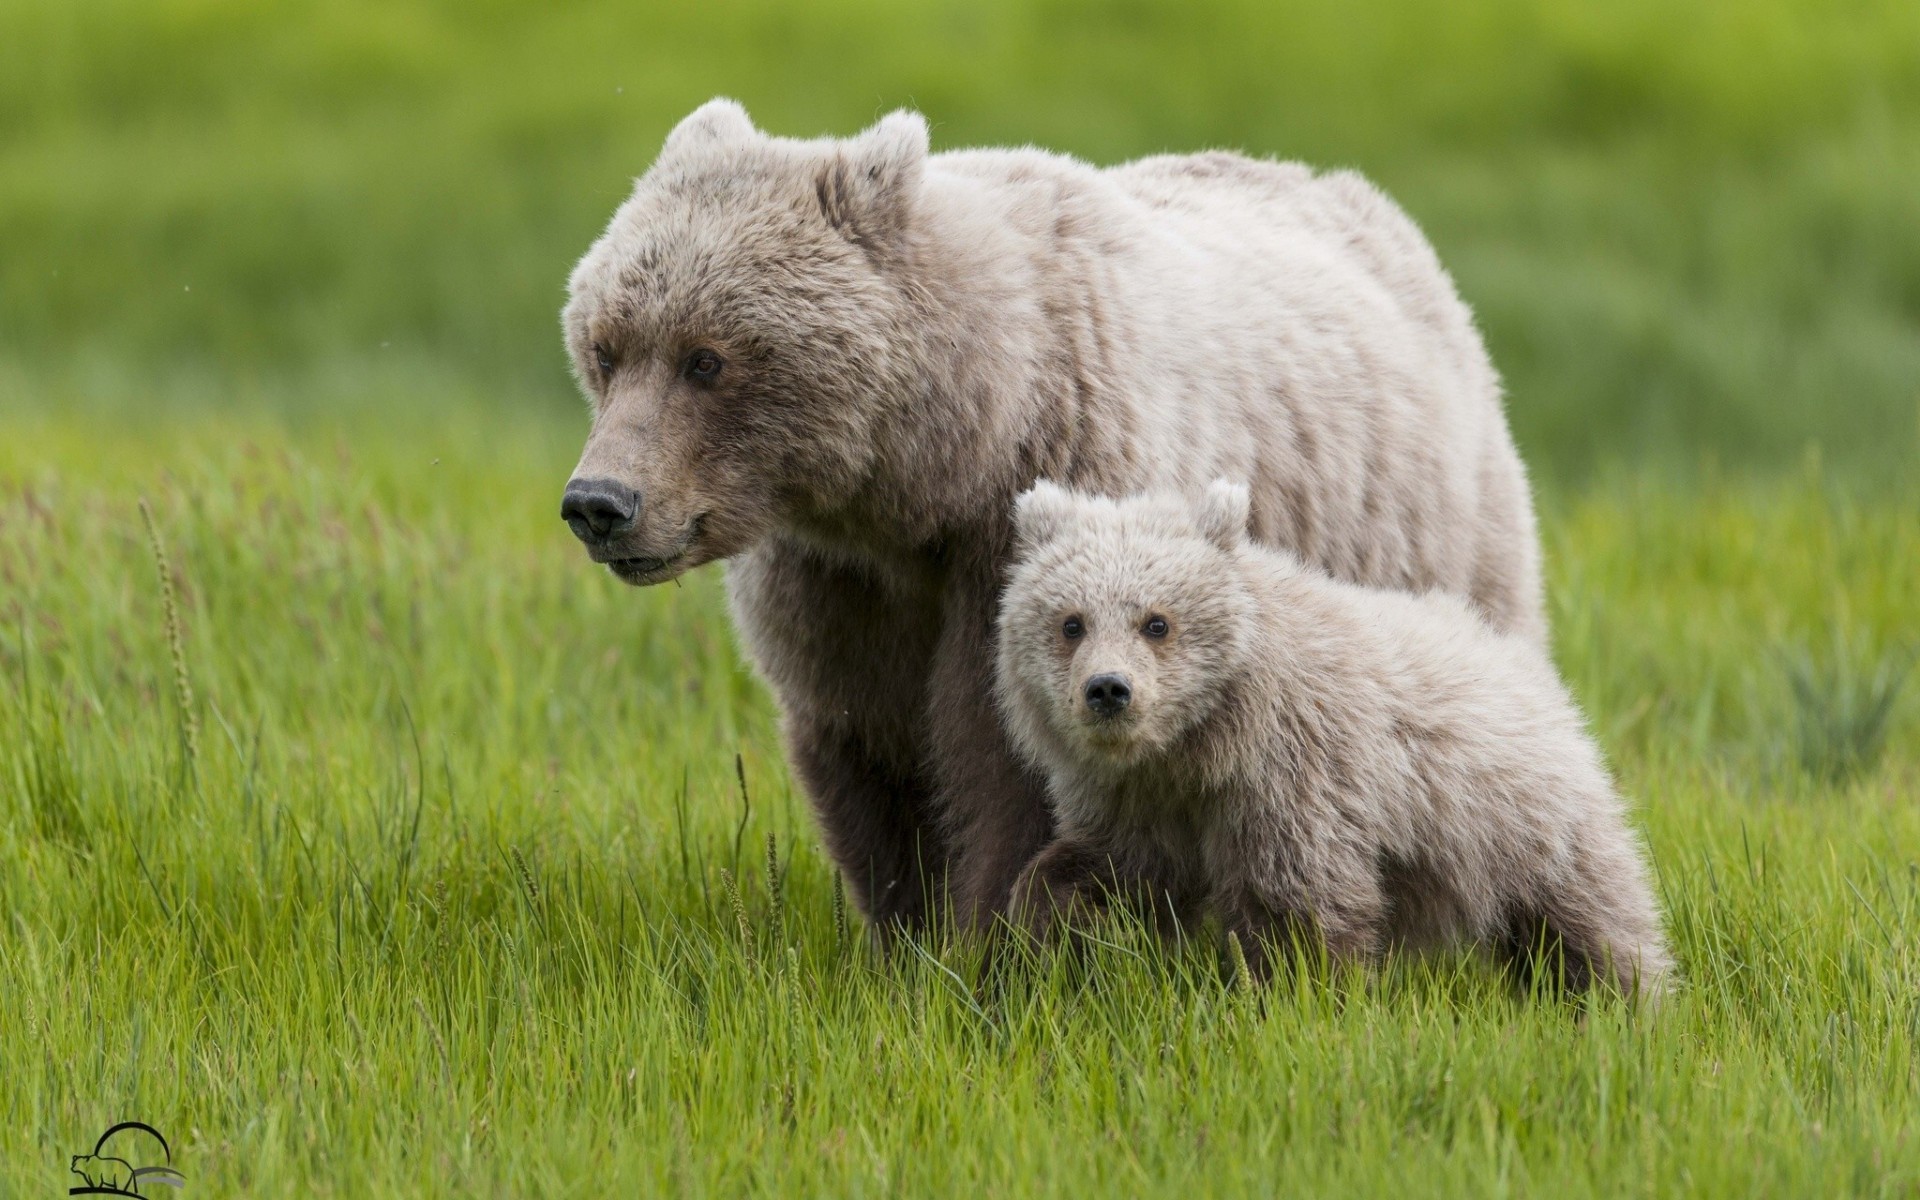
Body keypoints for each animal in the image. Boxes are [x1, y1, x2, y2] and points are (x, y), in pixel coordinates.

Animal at [560, 100, 1543, 936]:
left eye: (706, 359)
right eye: (606, 347)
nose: (599, 503)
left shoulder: (1056, 500)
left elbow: (1022, 761)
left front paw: (989, 944)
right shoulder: (841, 584)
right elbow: (868, 746)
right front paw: (908, 938)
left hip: (1431, 537)